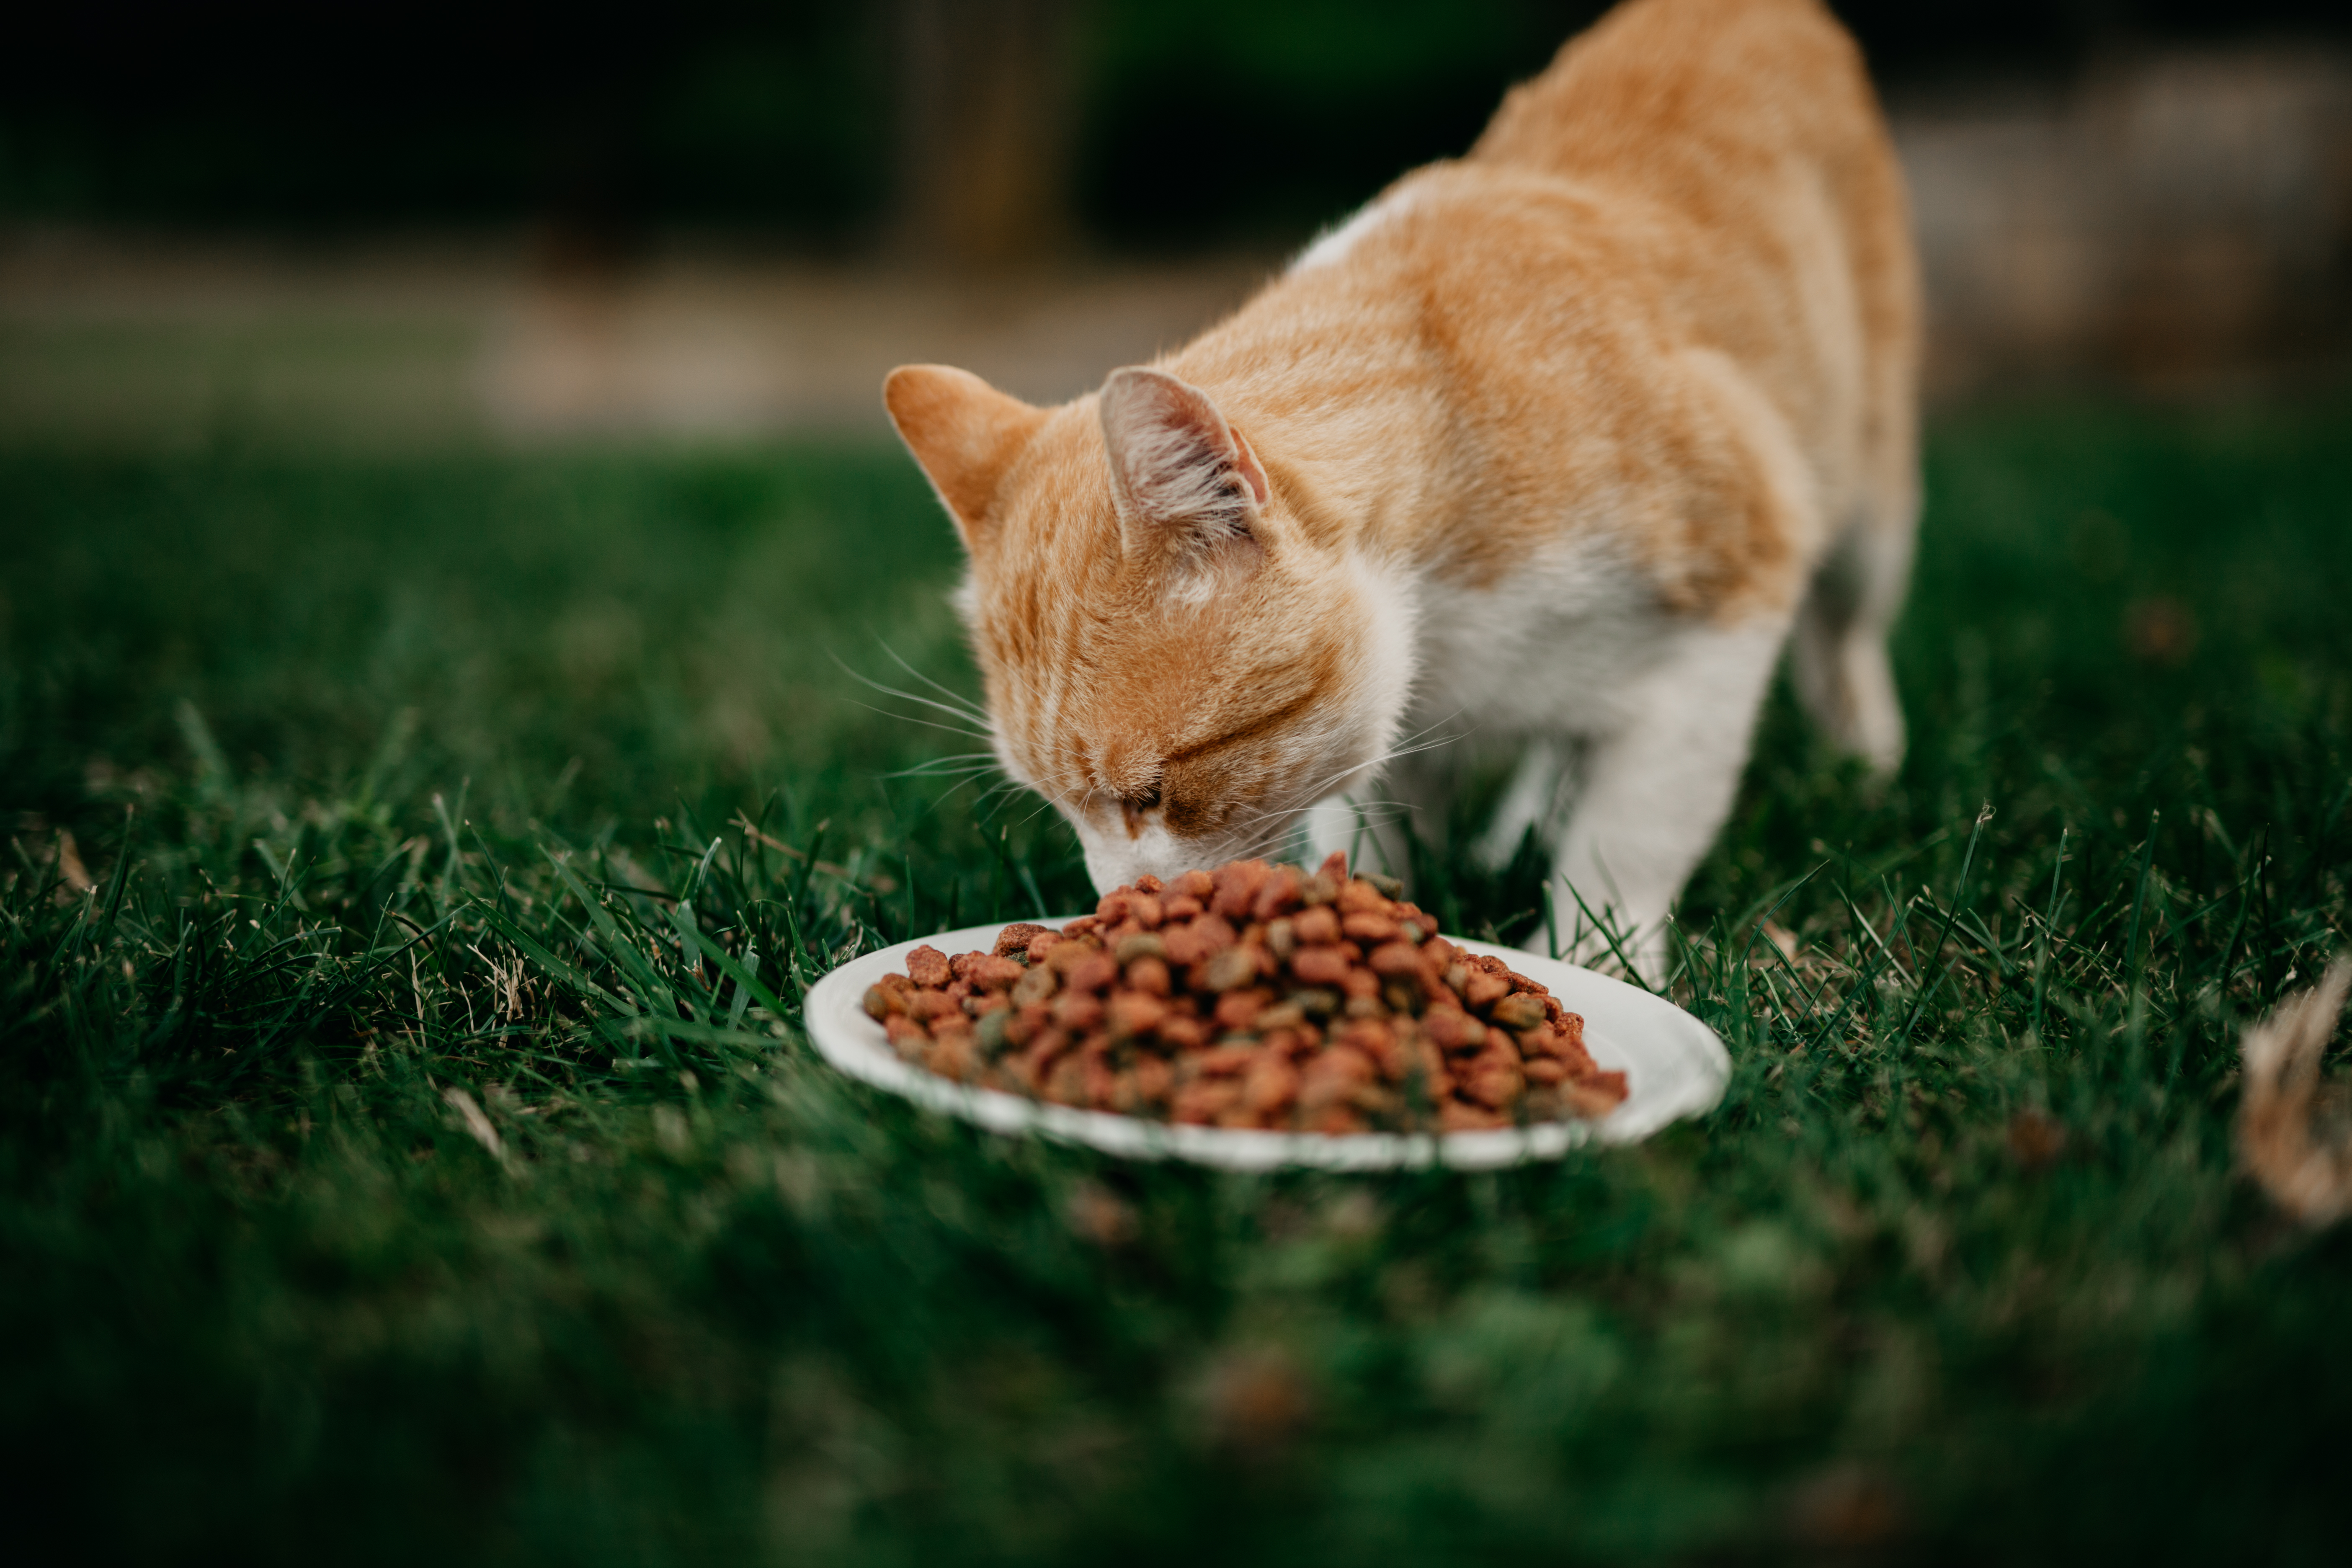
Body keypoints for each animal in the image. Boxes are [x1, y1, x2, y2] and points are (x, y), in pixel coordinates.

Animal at [884, 0, 1910, 973]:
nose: (1110, 905)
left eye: (1153, 792)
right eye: (1053, 804)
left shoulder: (1728, 606)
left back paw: (1868, 761)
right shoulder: (1382, 717)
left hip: (1864, 506)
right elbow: (1370, 816)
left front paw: (1593, 956)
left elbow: (1630, 836)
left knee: (1844, 630)